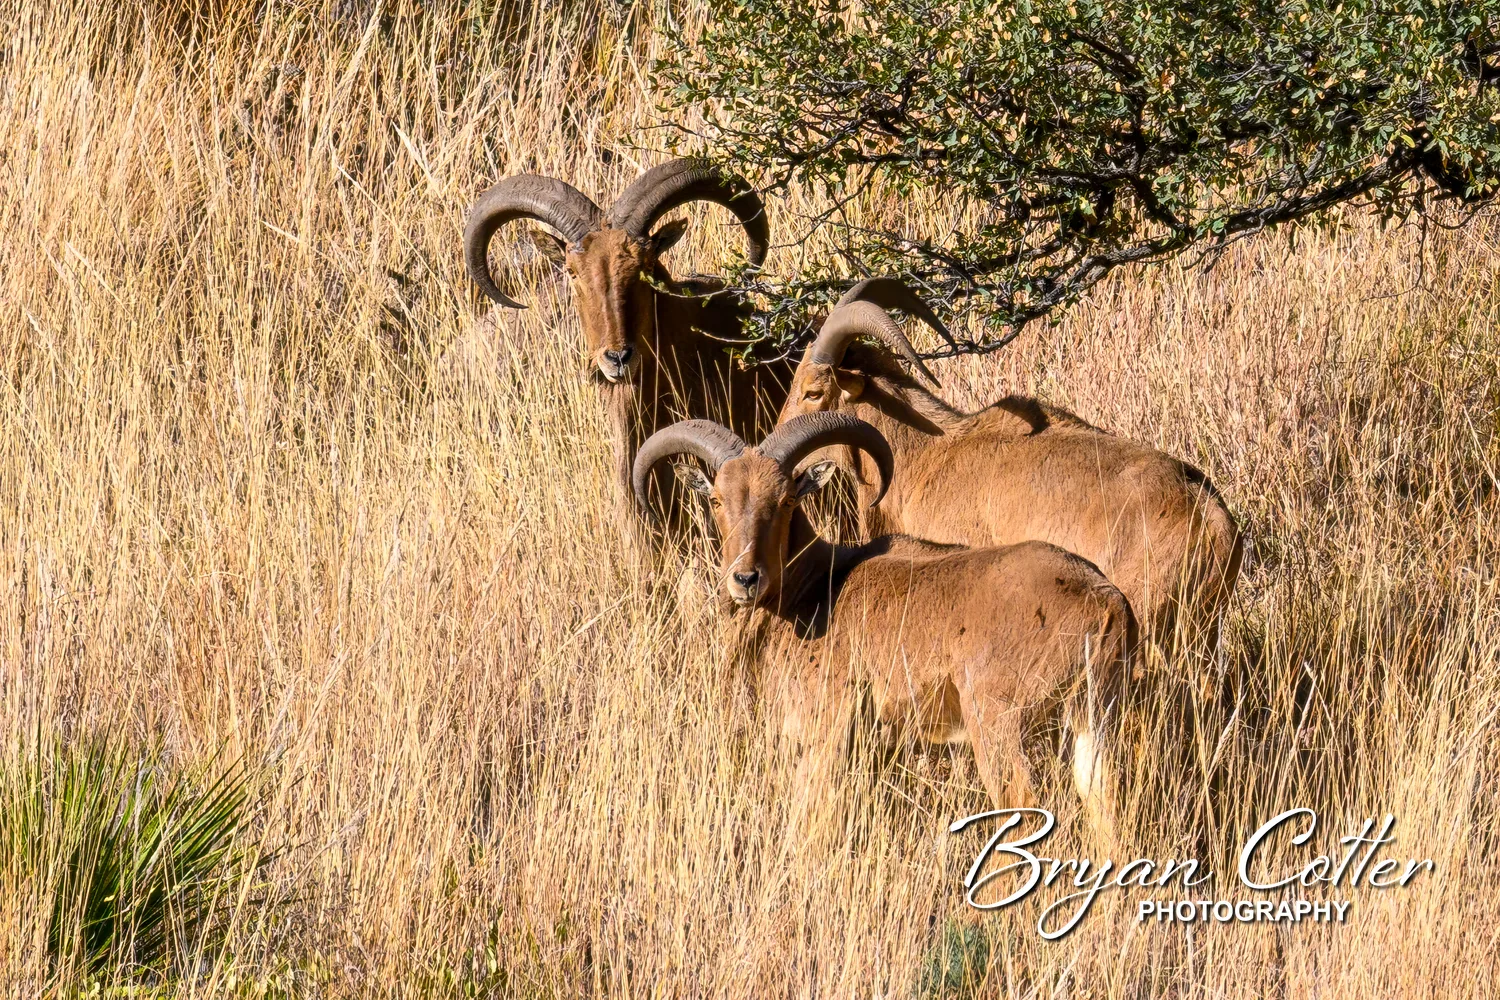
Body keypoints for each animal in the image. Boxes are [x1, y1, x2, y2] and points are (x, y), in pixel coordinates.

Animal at [633, 413, 1136, 836]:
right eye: (718, 499)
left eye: (787, 499)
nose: (746, 578)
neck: (816, 588)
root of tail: (1104, 602)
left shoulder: (825, 734)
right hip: (1094, 721)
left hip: (996, 723)